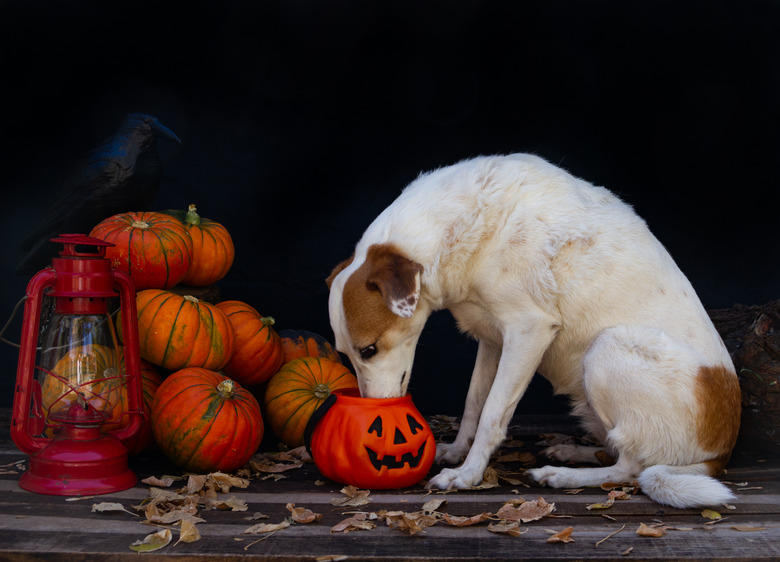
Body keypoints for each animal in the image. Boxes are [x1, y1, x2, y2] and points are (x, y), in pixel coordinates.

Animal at [326, 151, 740, 506]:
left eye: (369, 350)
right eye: (346, 354)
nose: (372, 410)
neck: (474, 220)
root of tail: (719, 454)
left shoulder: (528, 333)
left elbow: (493, 413)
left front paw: (467, 475)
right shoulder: (491, 338)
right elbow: (473, 403)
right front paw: (457, 452)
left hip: (608, 347)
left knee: (632, 469)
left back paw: (562, 475)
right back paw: (573, 451)